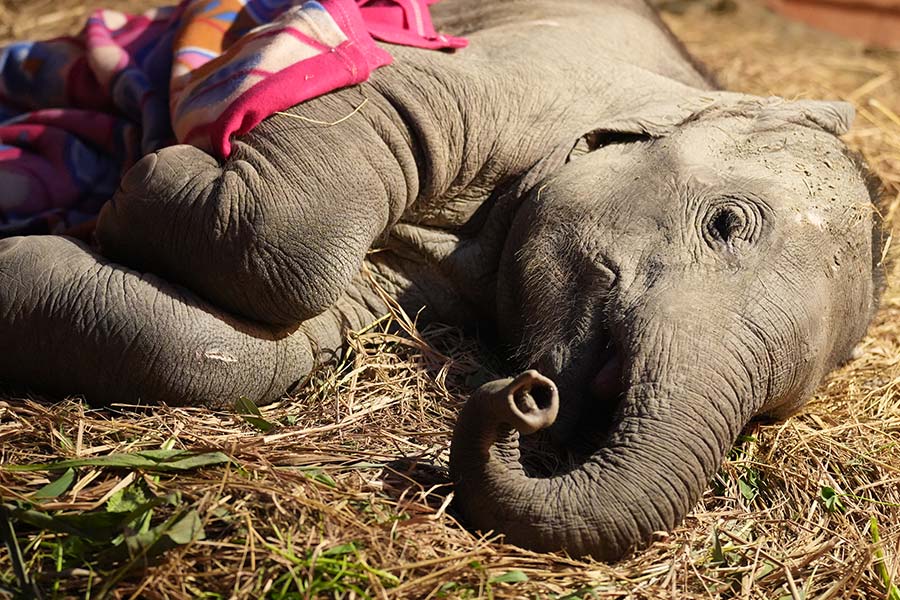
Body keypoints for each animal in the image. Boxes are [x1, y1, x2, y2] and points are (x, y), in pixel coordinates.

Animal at [0, 0, 885, 561]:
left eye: (768, 415)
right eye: (727, 224)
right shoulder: (505, 72)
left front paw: (71, 239)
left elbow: (269, 349)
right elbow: (312, 212)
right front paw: (141, 183)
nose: (524, 395)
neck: (683, 87)